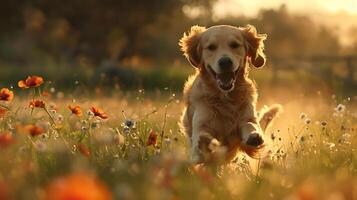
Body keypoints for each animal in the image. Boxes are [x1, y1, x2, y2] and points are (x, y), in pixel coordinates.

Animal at [179, 24, 280, 163]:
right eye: (211, 47)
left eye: (234, 45)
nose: (225, 62)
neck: (225, 98)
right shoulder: (199, 129)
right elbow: (201, 135)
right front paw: (205, 141)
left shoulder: (248, 119)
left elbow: (250, 125)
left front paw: (254, 135)